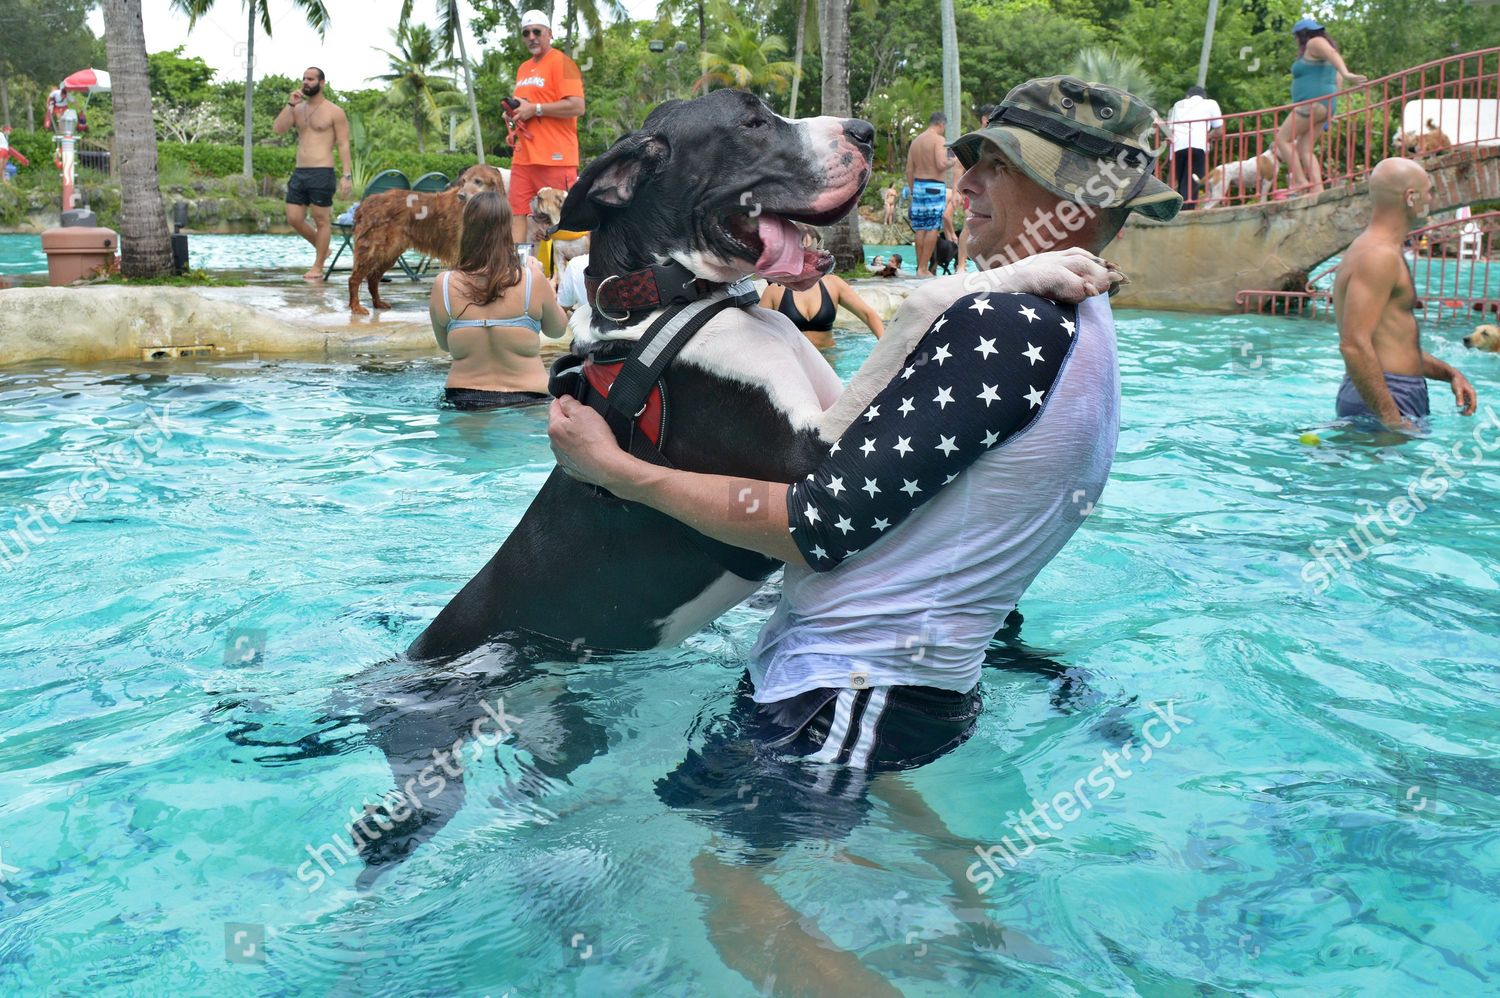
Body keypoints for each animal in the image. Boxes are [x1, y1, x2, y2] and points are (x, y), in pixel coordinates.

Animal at [349, 163, 510, 313]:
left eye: (478, 181)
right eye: (464, 181)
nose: (461, 196)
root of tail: (365, 203)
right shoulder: (459, 252)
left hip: (390, 253)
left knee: (373, 277)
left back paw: (377, 303)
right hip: (374, 249)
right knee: (355, 278)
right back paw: (356, 307)